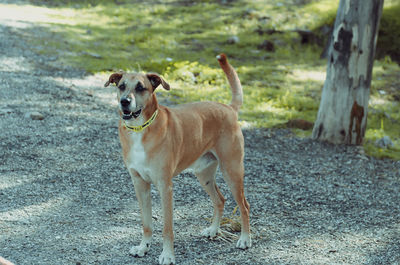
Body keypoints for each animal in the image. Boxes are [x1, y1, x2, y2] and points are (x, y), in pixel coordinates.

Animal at [104, 54, 252, 264]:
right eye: (121, 86)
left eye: (141, 87)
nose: (124, 101)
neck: (141, 129)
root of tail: (228, 108)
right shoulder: (140, 184)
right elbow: (146, 223)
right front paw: (143, 247)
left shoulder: (165, 187)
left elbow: (167, 228)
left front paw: (167, 255)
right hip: (204, 175)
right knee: (220, 200)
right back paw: (213, 230)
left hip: (232, 171)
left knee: (244, 206)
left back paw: (245, 239)